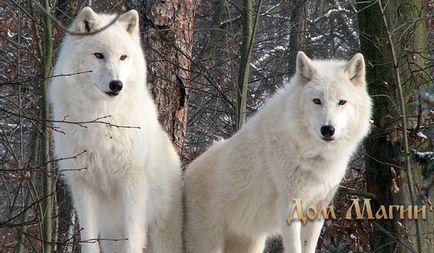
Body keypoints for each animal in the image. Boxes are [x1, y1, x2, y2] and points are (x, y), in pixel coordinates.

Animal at [49, 6, 183, 252]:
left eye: (123, 57)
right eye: (99, 55)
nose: (116, 85)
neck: (101, 119)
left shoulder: (131, 180)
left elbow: (134, 237)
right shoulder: (83, 186)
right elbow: (88, 239)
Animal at [184, 52, 372, 253]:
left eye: (342, 102)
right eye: (317, 100)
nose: (328, 129)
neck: (312, 154)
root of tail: (186, 174)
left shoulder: (317, 209)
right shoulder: (289, 207)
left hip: (251, 244)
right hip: (209, 244)